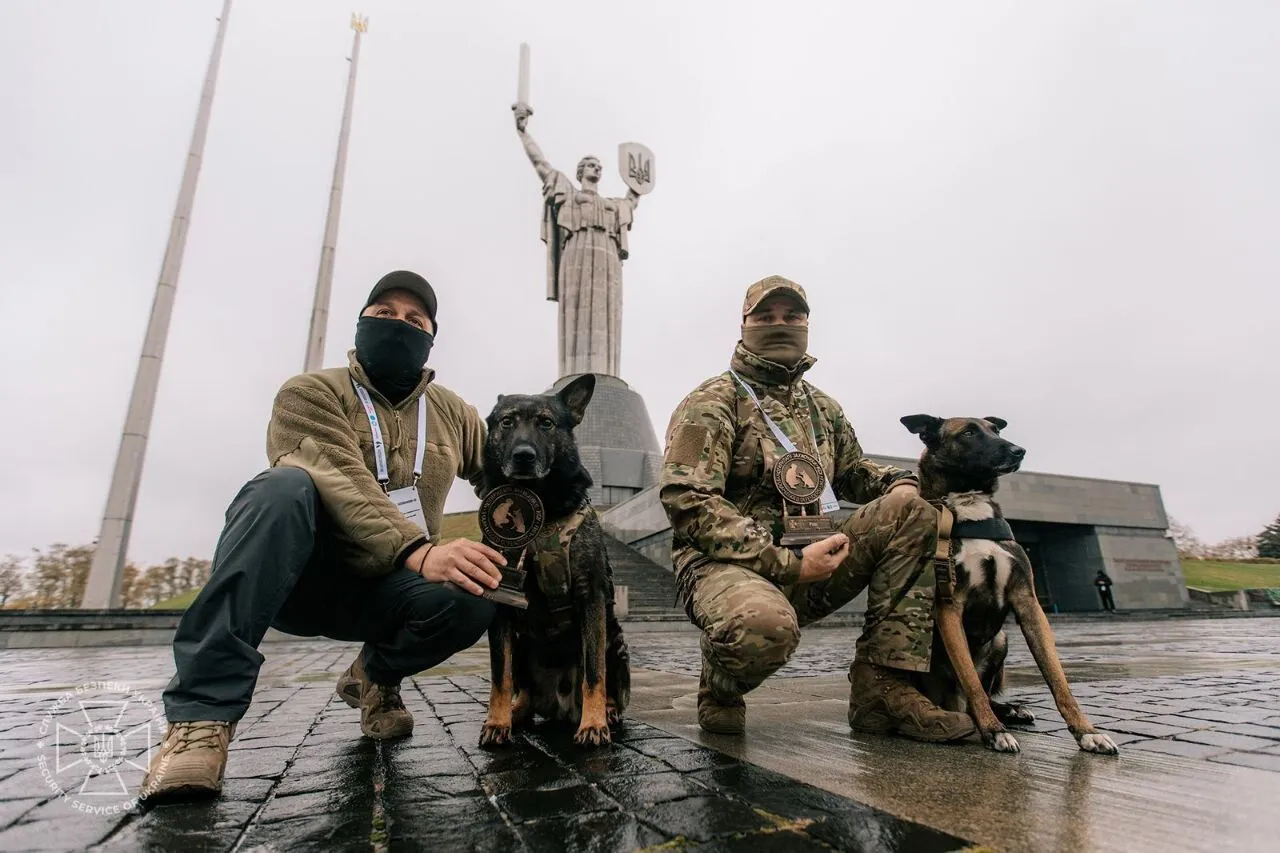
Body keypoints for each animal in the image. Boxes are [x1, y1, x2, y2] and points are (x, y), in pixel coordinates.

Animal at [476, 373, 629, 742]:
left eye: (546, 423)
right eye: (507, 421)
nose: (523, 456)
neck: (540, 504)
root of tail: (559, 707)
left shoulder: (591, 595)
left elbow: (594, 673)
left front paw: (593, 724)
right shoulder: (500, 602)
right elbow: (499, 676)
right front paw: (497, 722)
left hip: (615, 639)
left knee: (605, 679)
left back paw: (608, 712)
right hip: (522, 646)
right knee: (524, 691)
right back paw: (516, 713)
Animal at [901, 412, 1121, 753]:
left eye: (994, 430)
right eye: (968, 433)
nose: (1019, 451)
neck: (971, 509)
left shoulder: (1027, 601)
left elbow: (1057, 678)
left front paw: (1087, 731)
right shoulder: (950, 604)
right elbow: (971, 681)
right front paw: (993, 731)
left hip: (1001, 640)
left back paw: (1012, 709)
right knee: (966, 692)